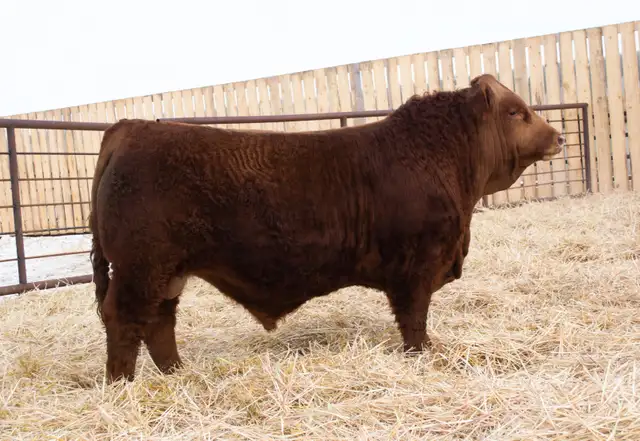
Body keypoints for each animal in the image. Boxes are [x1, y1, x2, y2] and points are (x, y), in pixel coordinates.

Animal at [89, 74, 565, 382]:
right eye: (516, 112)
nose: (559, 137)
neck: (438, 156)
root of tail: (128, 129)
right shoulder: (416, 267)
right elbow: (414, 320)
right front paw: (422, 356)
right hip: (141, 267)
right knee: (124, 319)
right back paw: (122, 385)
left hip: (168, 272)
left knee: (159, 322)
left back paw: (177, 375)